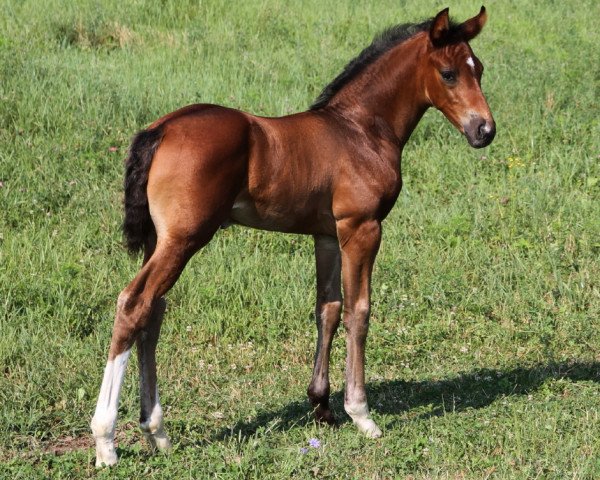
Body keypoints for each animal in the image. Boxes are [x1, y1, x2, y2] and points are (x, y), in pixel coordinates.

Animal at [91, 6, 496, 464]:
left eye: (479, 69)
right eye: (448, 73)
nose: (484, 130)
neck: (360, 131)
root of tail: (161, 129)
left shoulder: (327, 235)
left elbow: (328, 308)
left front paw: (322, 406)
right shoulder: (362, 228)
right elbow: (359, 311)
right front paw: (361, 414)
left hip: (160, 241)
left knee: (153, 313)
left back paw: (156, 431)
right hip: (184, 239)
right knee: (134, 303)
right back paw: (106, 441)